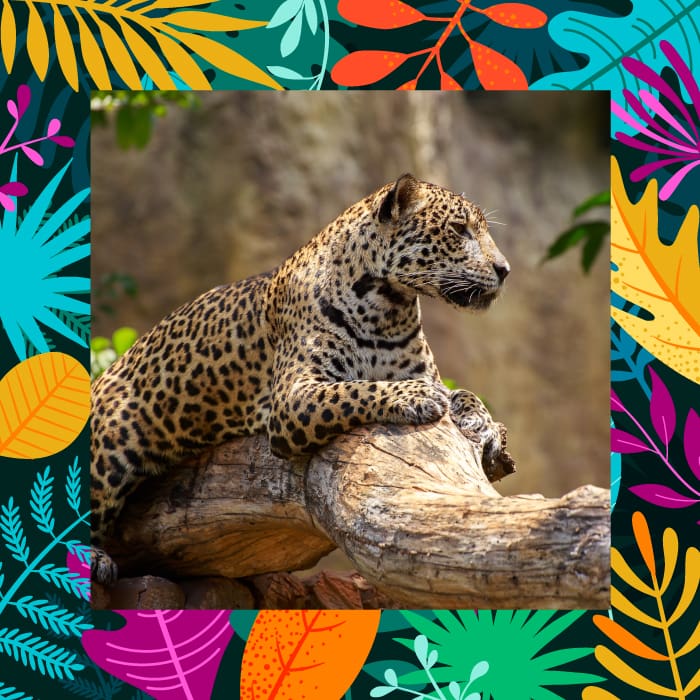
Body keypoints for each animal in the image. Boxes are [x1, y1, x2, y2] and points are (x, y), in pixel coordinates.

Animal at [91, 173, 515, 584]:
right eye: (459, 229)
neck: (388, 309)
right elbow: (356, 389)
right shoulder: (292, 398)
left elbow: (465, 393)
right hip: (110, 446)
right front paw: (415, 397)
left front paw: (484, 425)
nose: (505, 270)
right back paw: (95, 560)